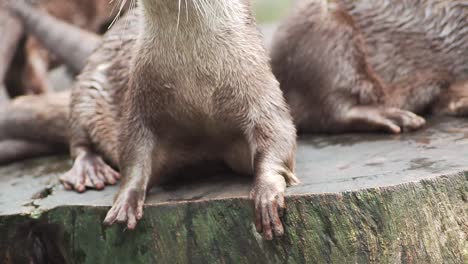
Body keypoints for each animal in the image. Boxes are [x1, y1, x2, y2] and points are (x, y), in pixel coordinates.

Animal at [1, 0, 298, 240]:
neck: (198, 90)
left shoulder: (261, 92)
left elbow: (280, 136)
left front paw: (266, 196)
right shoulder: (139, 102)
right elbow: (133, 152)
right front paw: (126, 200)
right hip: (88, 88)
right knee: (78, 139)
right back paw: (89, 169)